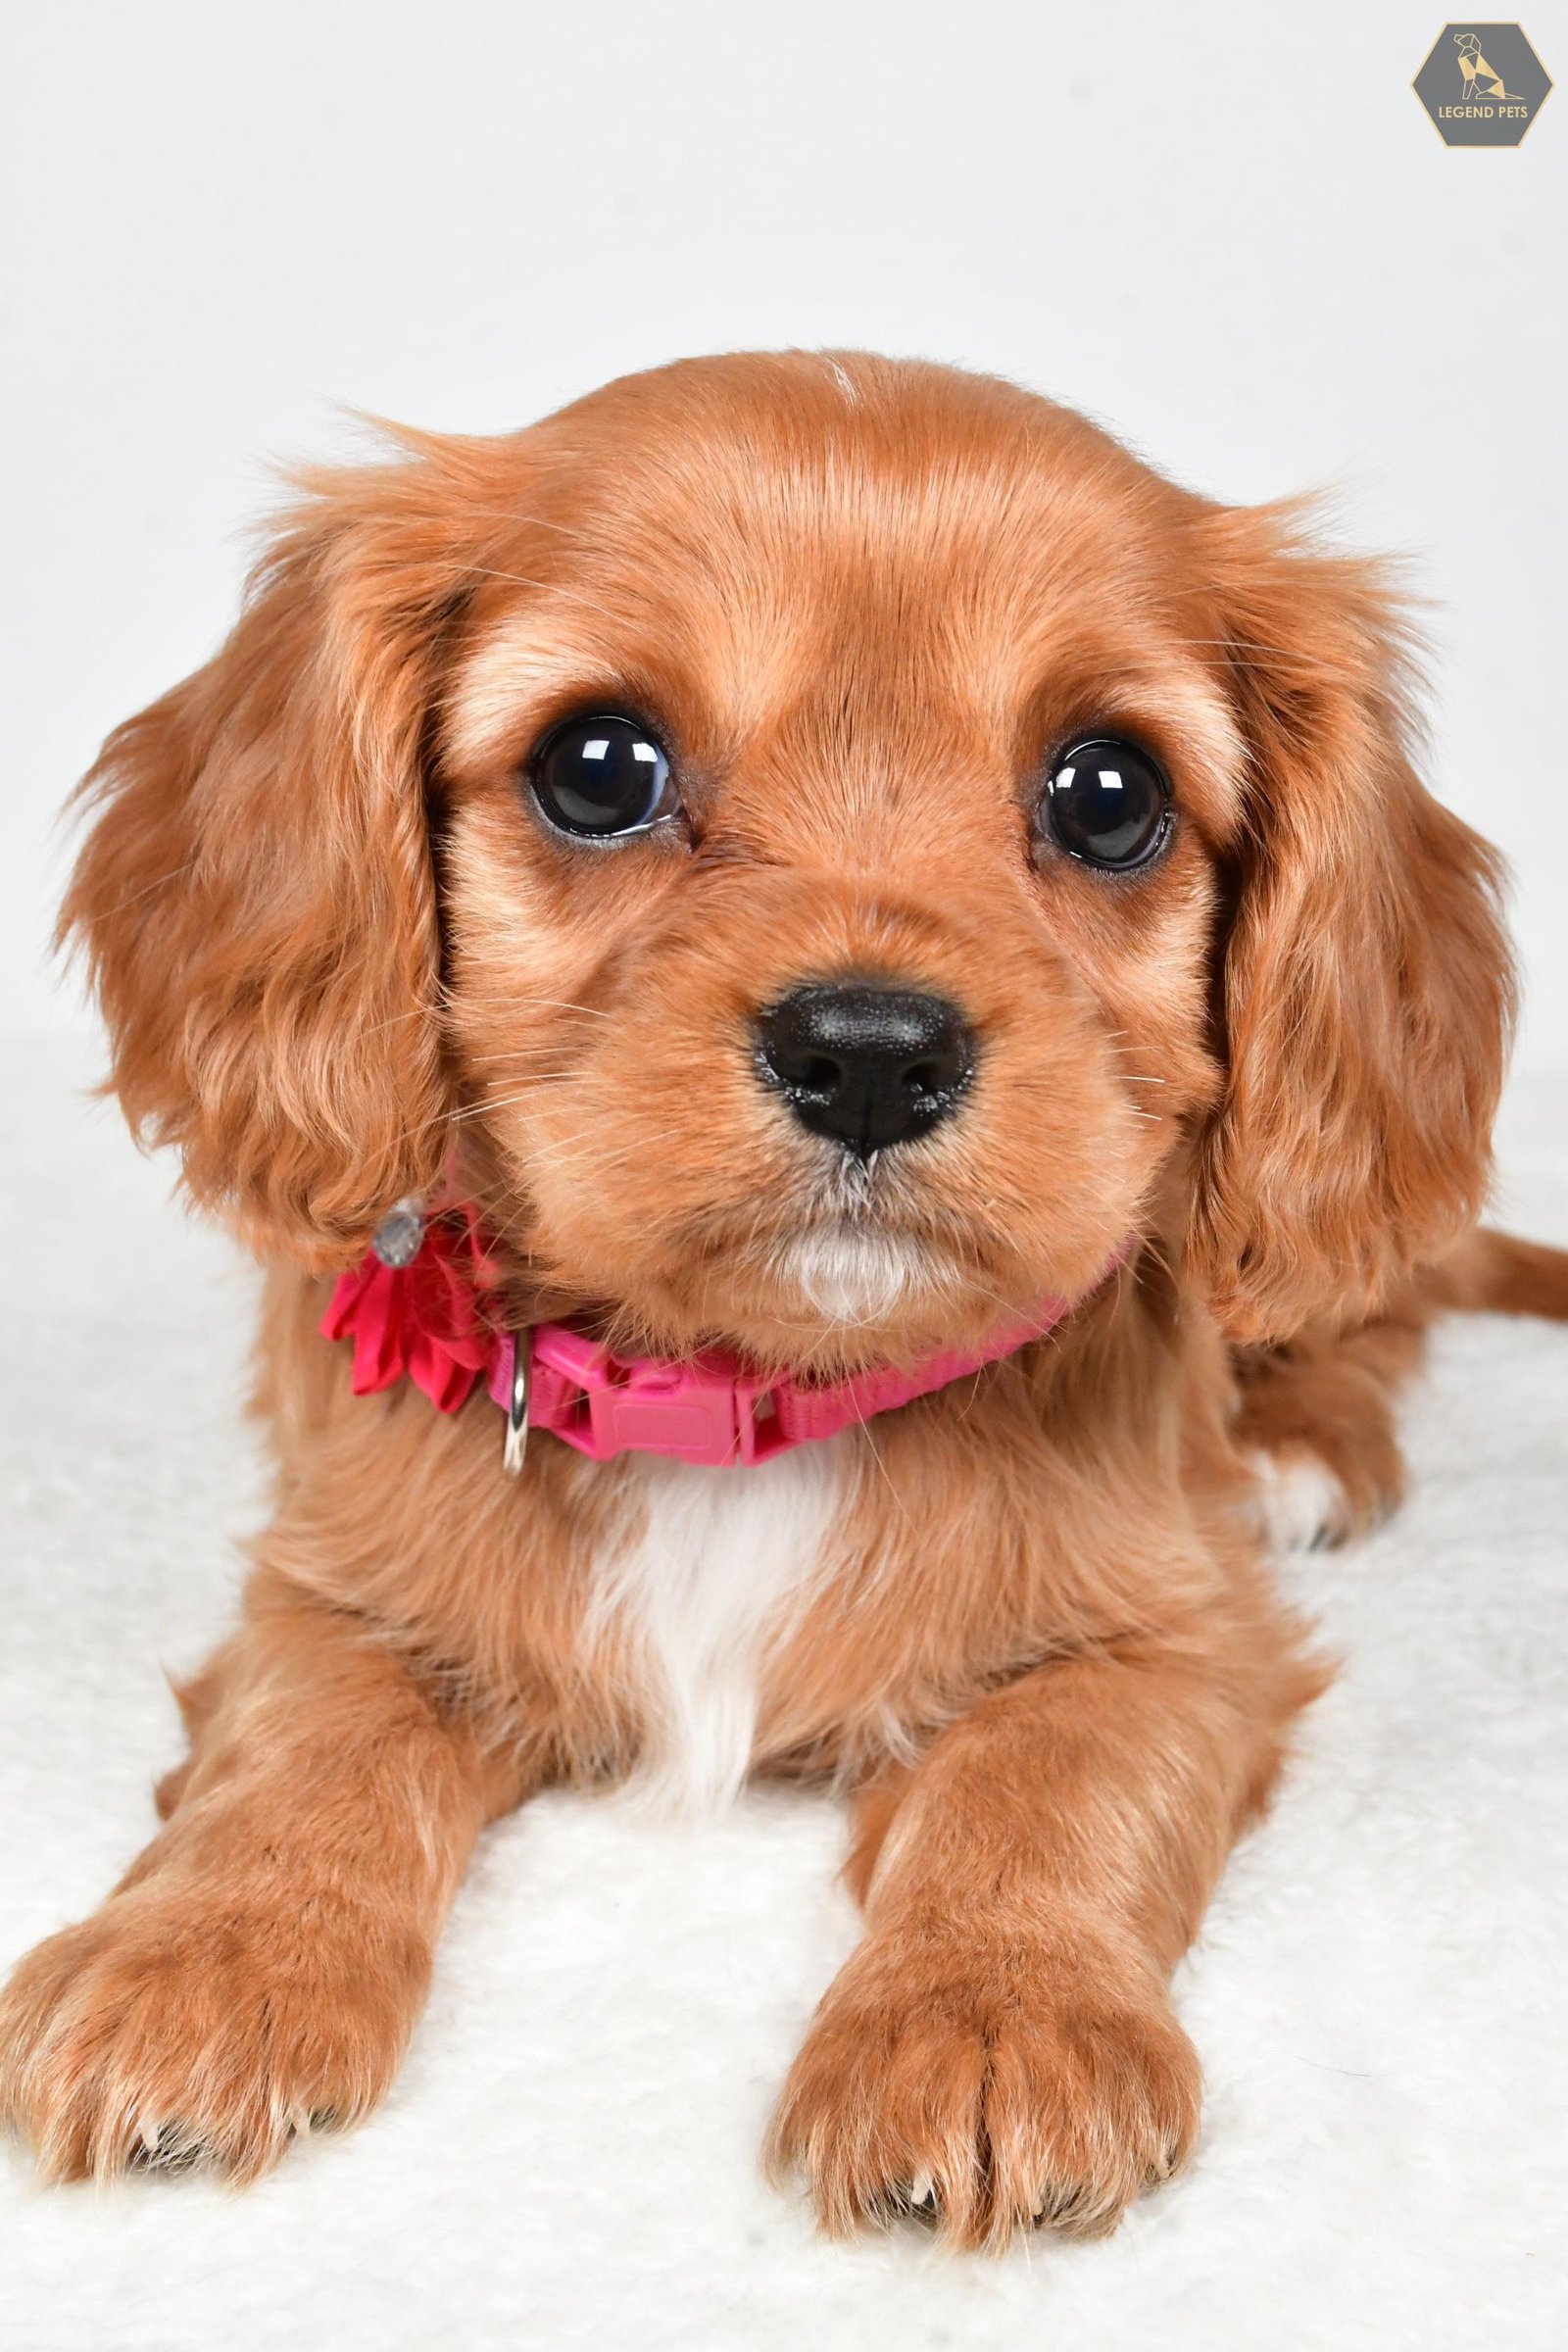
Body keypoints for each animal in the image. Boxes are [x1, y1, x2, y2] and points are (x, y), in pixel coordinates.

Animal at [2, 352, 1563, 2249]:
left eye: (1107, 793)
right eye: (598, 766)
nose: (873, 1052)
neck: (758, 1402)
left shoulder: (1182, 1636)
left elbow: (1048, 1782)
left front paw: (991, 2013)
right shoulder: (334, 1580)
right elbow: (300, 1752)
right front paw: (202, 1955)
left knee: (1368, 1317)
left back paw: (1304, 1451)